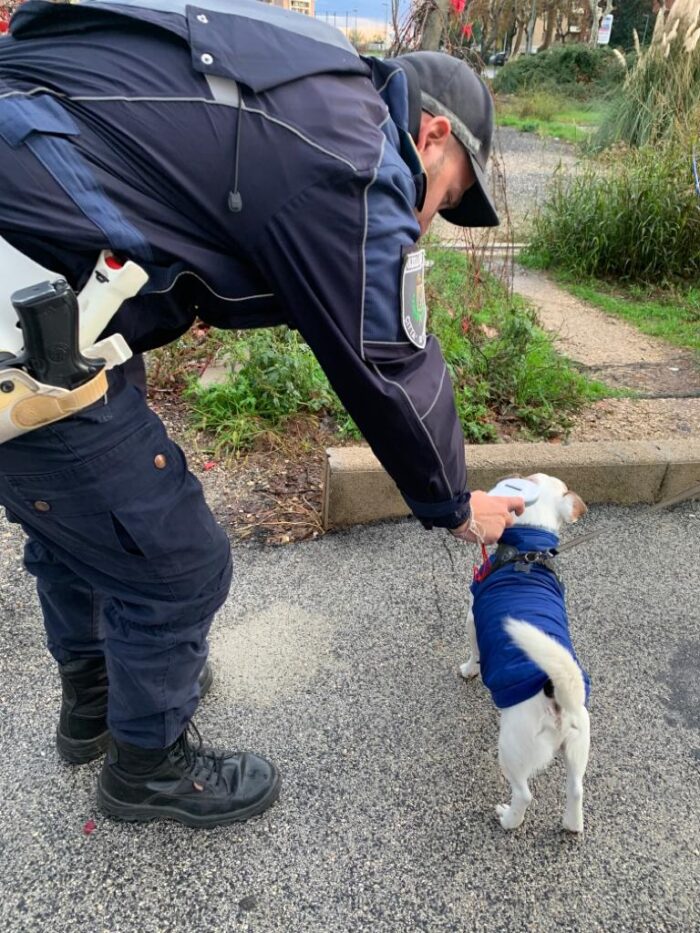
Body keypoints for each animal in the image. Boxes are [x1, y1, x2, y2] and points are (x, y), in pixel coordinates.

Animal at [460, 474, 592, 832]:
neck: (528, 548)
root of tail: (557, 695)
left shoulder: (473, 618)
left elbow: (474, 653)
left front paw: (469, 669)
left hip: (512, 748)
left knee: (524, 794)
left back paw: (508, 818)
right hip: (579, 744)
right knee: (576, 789)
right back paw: (572, 824)